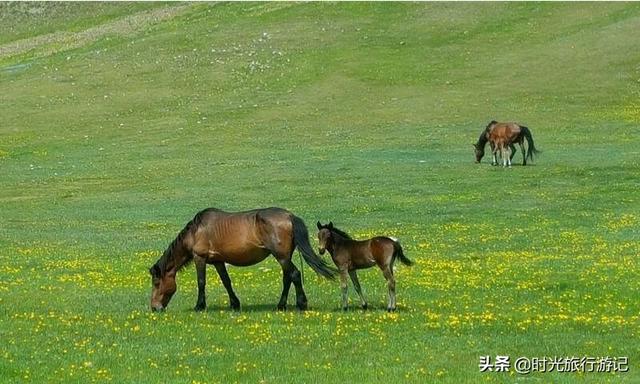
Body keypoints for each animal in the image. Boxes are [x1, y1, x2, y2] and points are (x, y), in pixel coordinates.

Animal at [148, 207, 338, 312]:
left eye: (156, 283)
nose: (154, 308)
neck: (196, 231)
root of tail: (290, 216)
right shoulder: (218, 261)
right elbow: (226, 282)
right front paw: (234, 304)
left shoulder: (199, 258)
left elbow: (201, 282)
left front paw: (199, 306)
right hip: (284, 257)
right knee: (287, 278)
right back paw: (280, 305)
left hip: (282, 257)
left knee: (295, 275)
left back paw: (301, 304)